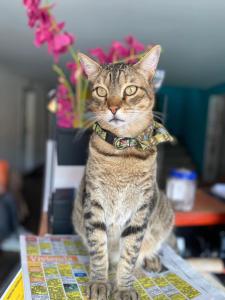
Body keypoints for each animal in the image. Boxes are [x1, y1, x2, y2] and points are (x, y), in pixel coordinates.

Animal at [72, 45, 174, 300]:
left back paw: (152, 260)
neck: (122, 151)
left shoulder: (140, 210)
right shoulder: (94, 204)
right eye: (101, 91)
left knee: (150, 247)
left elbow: (129, 256)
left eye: (130, 89)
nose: (113, 107)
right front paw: (99, 283)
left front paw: (124, 287)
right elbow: (99, 252)